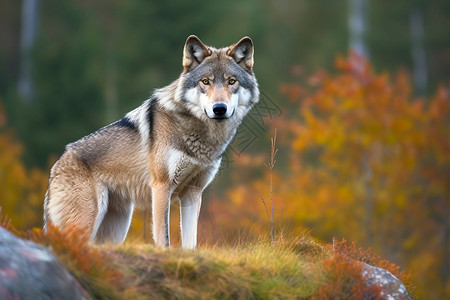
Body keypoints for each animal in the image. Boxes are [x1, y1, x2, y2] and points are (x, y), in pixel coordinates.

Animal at [44, 35, 260, 250]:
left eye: (231, 81)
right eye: (205, 82)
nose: (219, 108)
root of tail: (58, 163)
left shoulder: (193, 193)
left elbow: (190, 243)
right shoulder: (161, 187)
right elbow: (164, 238)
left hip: (117, 229)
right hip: (87, 223)